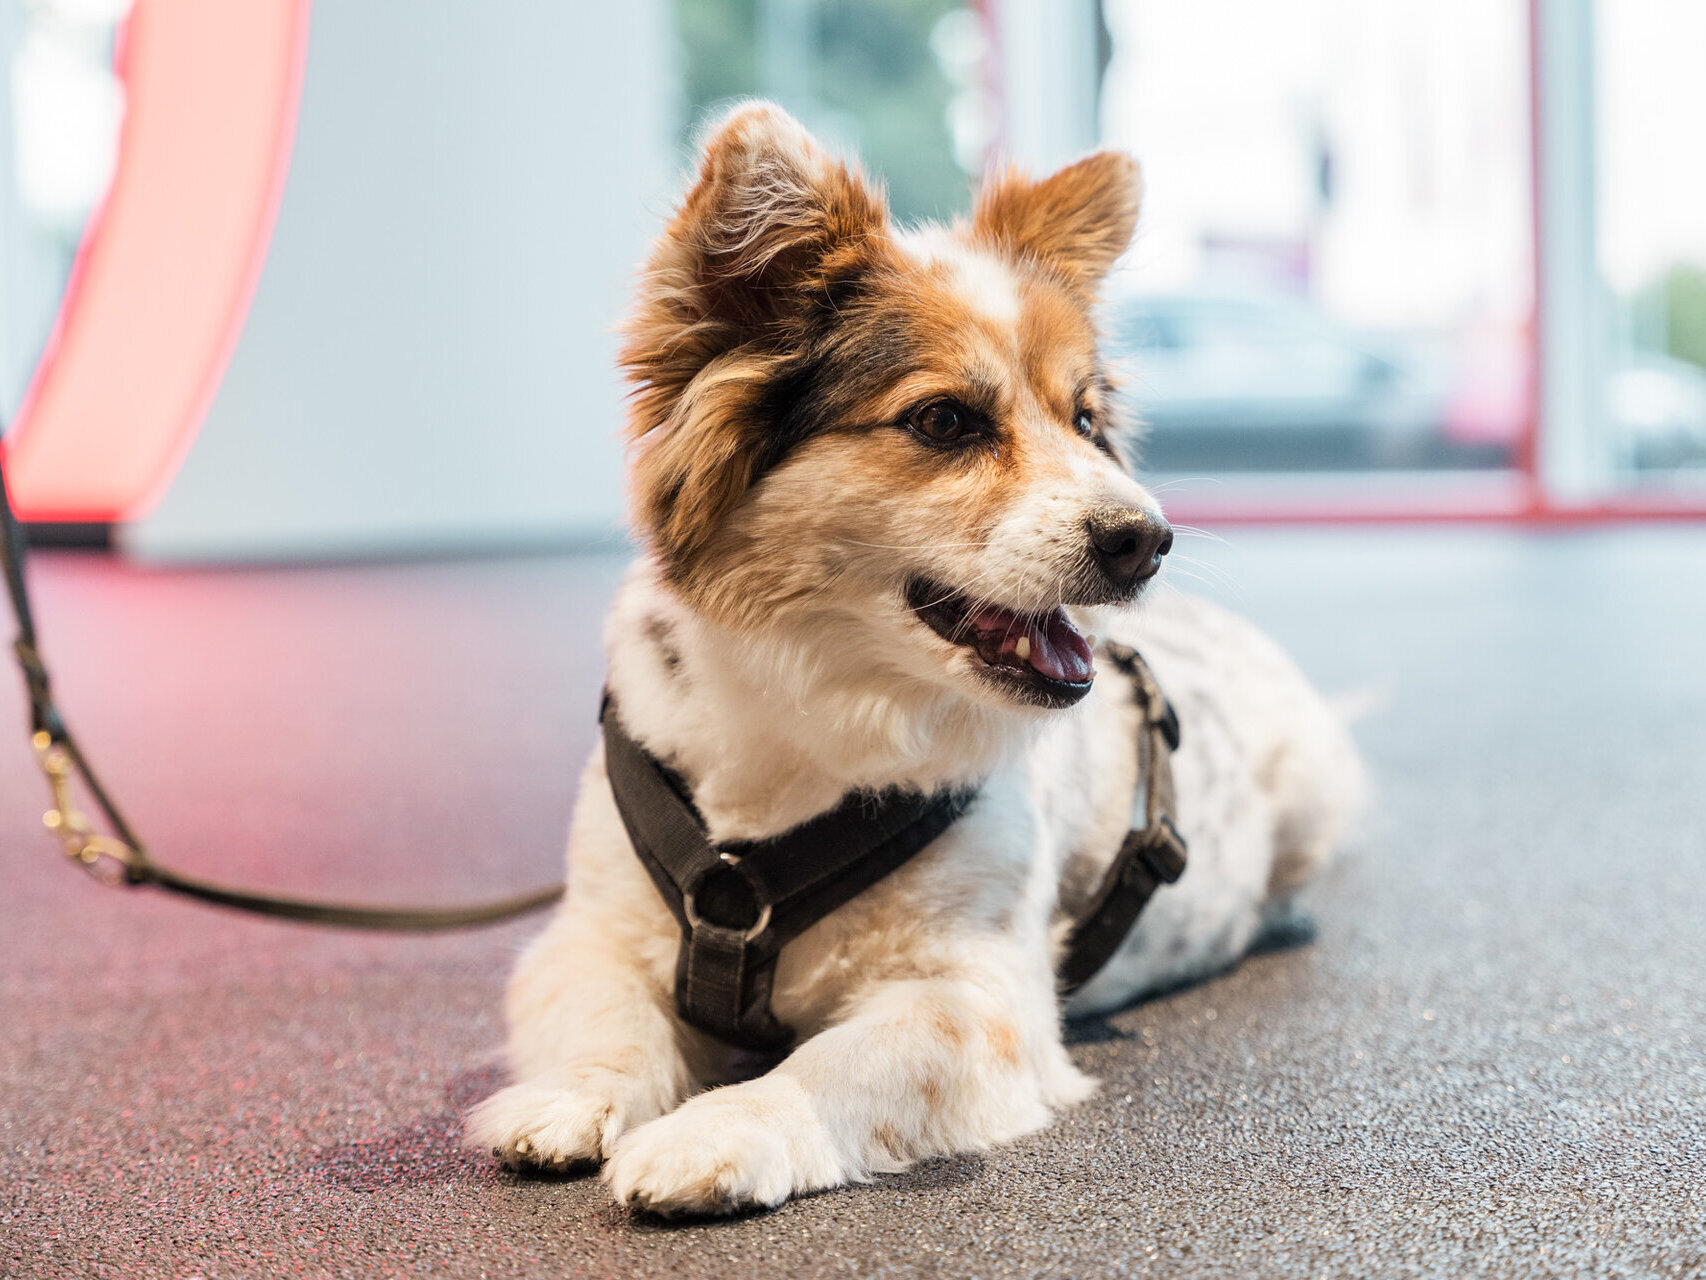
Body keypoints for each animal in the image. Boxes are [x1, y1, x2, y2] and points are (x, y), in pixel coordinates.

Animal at [464, 105, 1357, 1215]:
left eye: (1086, 421)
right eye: (943, 420)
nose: (1145, 538)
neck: (817, 707)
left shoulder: (975, 996)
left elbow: (828, 1064)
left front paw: (721, 1129)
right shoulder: (589, 931)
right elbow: (601, 1016)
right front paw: (570, 1097)